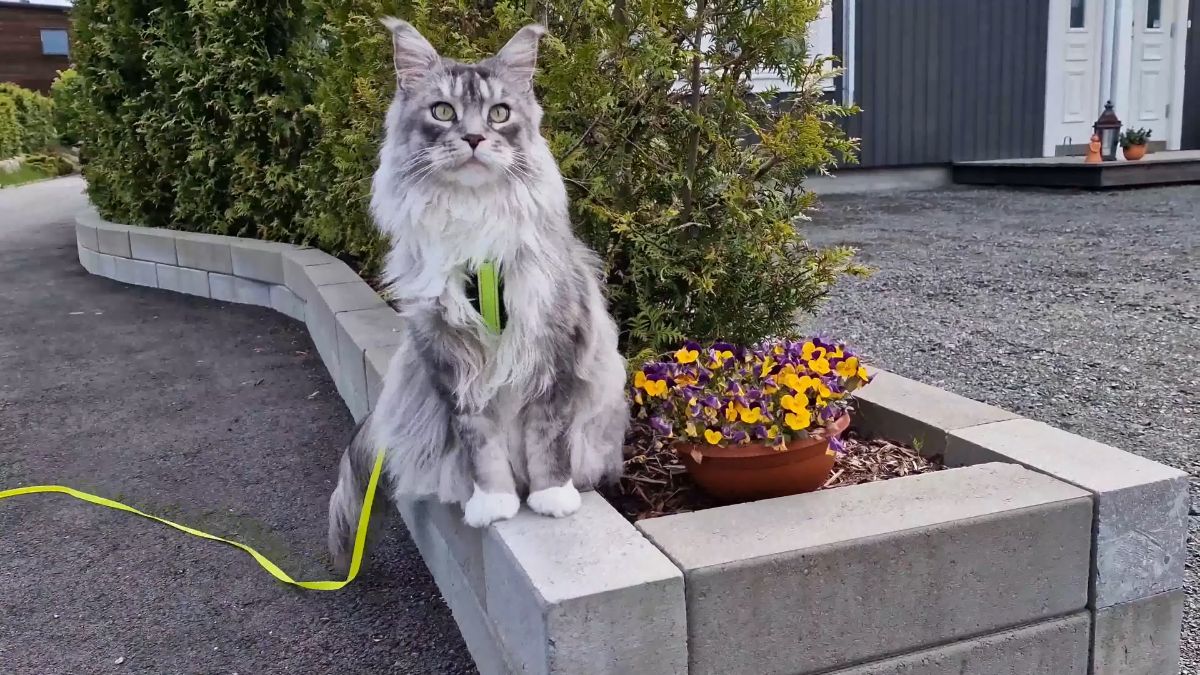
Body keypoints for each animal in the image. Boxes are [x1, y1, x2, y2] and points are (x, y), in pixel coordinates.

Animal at [328, 17, 628, 562]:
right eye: (443, 111)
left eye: (499, 113)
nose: (473, 137)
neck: (476, 231)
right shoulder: (451, 359)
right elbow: (480, 444)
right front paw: (494, 503)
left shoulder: (553, 348)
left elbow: (548, 438)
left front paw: (552, 498)